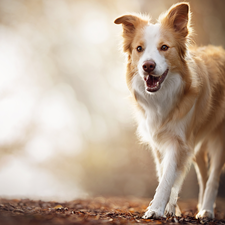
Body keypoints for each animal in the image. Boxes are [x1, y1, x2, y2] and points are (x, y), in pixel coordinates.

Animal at [115, 1, 225, 220]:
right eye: (139, 49)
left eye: (164, 47)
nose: (148, 66)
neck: (162, 97)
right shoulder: (161, 141)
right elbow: (166, 173)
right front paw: (170, 207)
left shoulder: (178, 140)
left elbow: (168, 177)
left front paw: (156, 209)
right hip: (196, 144)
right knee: (202, 175)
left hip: (219, 139)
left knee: (213, 177)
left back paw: (207, 210)